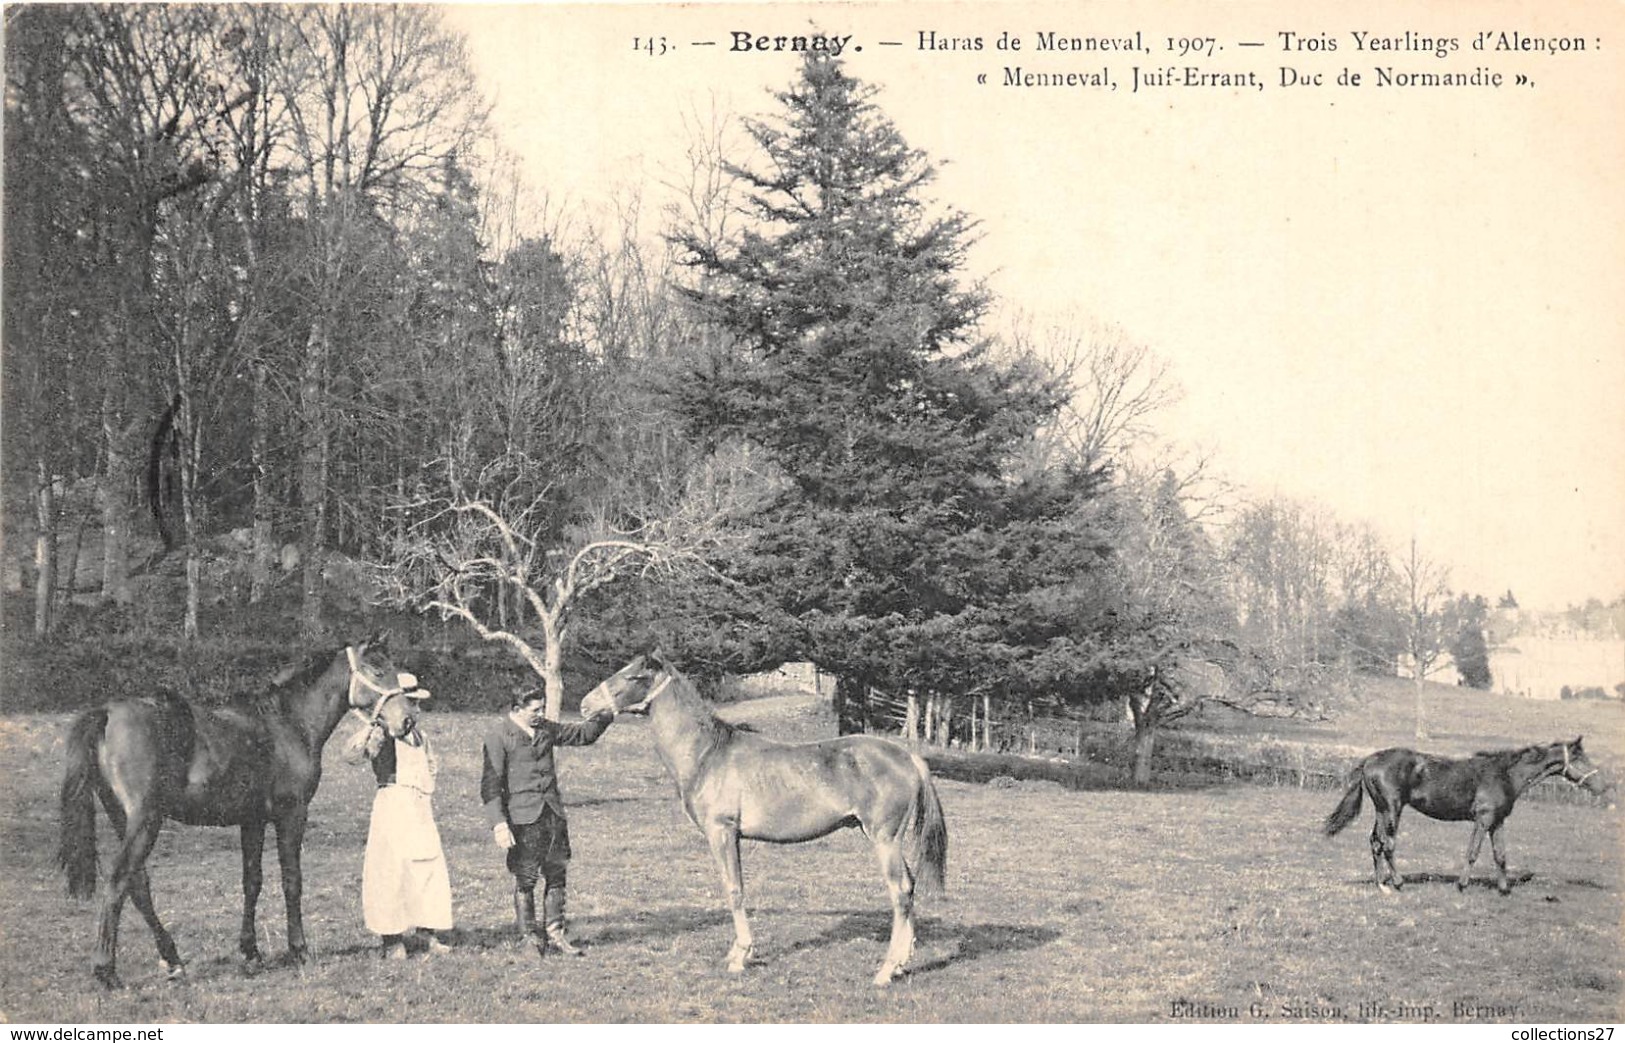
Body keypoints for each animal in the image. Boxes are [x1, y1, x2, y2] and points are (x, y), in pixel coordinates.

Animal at [57, 633, 412, 981]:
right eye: (378, 670)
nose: (407, 721)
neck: (288, 723)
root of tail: (107, 712)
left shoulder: (252, 821)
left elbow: (251, 882)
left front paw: (251, 952)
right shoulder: (292, 814)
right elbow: (292, 881)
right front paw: (298, 950)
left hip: (123, 818)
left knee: (137, 885)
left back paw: (172, 959)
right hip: (145, 821)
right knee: (119, 880)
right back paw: (106, 970)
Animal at [578, 649, 949, 981]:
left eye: (632, 676)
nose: (585, 705)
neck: (708, 753)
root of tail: (908, 757)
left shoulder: (723, 832)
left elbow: (734, 889)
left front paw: (740, 956)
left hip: (884, 838)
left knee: (899, 890)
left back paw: (886, 970)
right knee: (909, 887)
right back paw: (901, 963)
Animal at [1326, 731, 1605, 896]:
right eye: (1581, 760)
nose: (1604, 786)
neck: (1505, 775)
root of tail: (1369, 760)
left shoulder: (1498, 821)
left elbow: (1500, 855)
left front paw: (1504, 890)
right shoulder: (1483, 819)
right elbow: (1473, 852)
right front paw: (1462, 885)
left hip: (1382, 811)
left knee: (1375, 842)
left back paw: (1381, 884)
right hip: (1391, 809)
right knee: (1387, 843)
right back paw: (1397, 883)